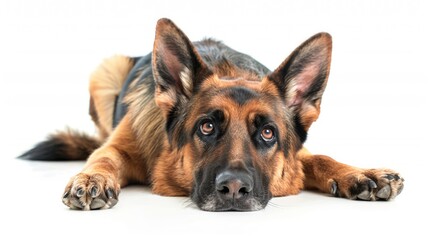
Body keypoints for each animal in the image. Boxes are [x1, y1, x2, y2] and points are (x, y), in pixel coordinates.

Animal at [19, 18, 402, 210]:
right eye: (206, 127)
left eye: (268, 133)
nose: (233, 189)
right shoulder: (119, 146)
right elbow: (104, 157)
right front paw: (91, 179)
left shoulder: (299, 153)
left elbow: (320, 157)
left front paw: (360, 174)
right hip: (105, 72)